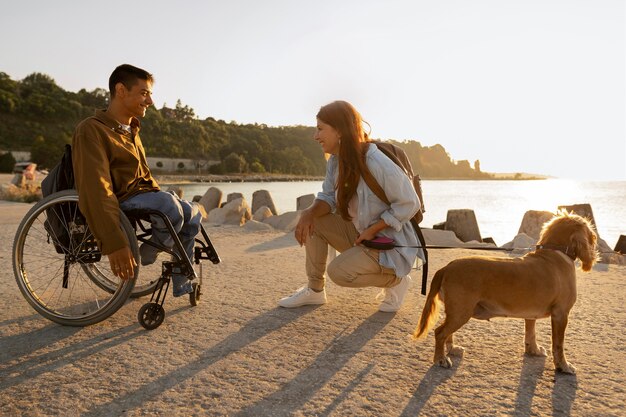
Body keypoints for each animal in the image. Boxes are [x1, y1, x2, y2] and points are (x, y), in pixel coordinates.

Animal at [412, 213, 596, 372]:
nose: (594, 238)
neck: (555, 252)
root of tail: (447, 268)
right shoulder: (561, 314)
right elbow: (558, 345)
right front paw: (563, 366)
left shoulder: (530, 314)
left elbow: (531, 334)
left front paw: (534, 350)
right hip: (461, 312)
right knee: (440, 332)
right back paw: (440, 359)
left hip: (456, 312)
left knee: (447, 332)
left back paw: (451, 349)